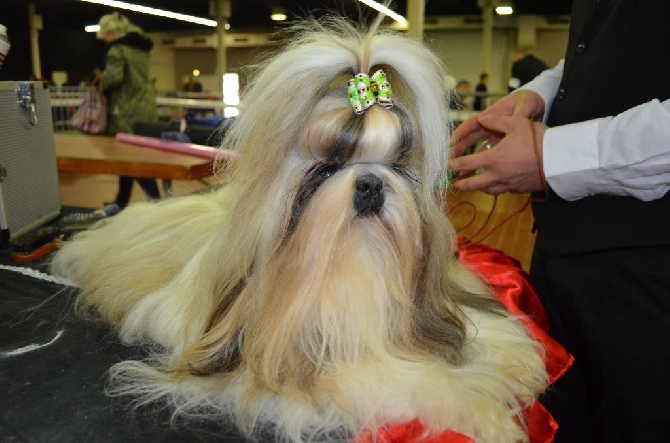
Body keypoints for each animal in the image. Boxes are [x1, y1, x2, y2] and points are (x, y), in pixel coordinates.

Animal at [51, 12, 552, 443]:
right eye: (327, 168)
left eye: (396, 165)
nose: (370, 183)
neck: (354, 270)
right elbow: (414, 381)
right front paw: (486, 413)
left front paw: (516, 360)